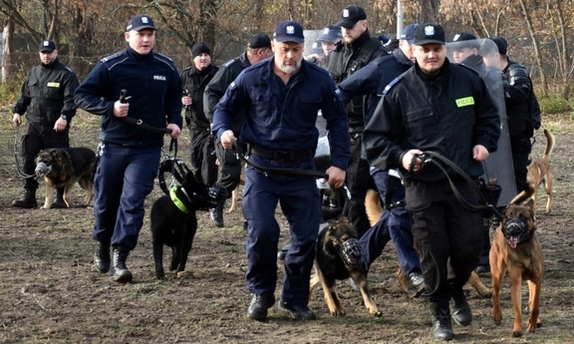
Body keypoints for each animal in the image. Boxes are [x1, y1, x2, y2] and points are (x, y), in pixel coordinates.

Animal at [490, 200, 544, 338]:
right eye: (509, 216)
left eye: (523, 217)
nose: (512, 228)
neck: (523, 248)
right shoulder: (516, 282)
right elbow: (517, 310)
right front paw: (517, 329)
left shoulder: (536, 279)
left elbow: (535, 305)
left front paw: (532, 323)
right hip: (498, 273)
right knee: (495, 293)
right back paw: (497, 315)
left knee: (531, 301)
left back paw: (537, 320)